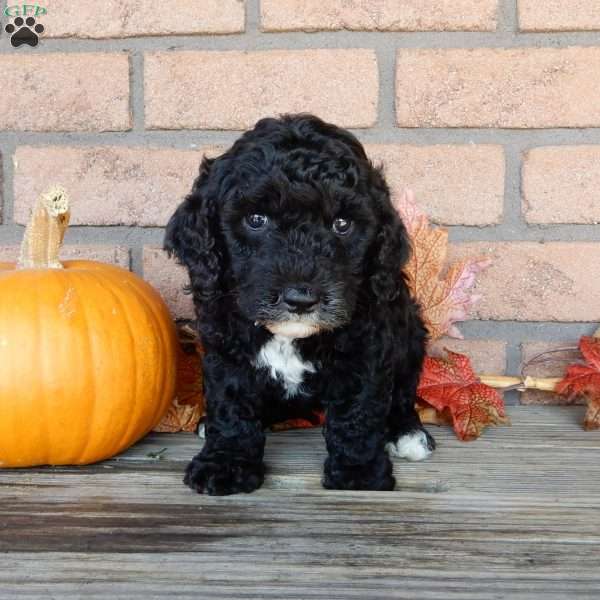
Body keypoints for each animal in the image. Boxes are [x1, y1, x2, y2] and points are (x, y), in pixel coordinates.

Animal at [164, 115, 436, 494]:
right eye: (256, 219)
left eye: (342, 224)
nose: (301, 299)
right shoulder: (226, 348)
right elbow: (232, 406)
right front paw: (225, 463)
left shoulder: (366, 347)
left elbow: (359, 410)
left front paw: (359, 473)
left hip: (410, 334)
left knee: (402, 393)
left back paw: (407, 432)